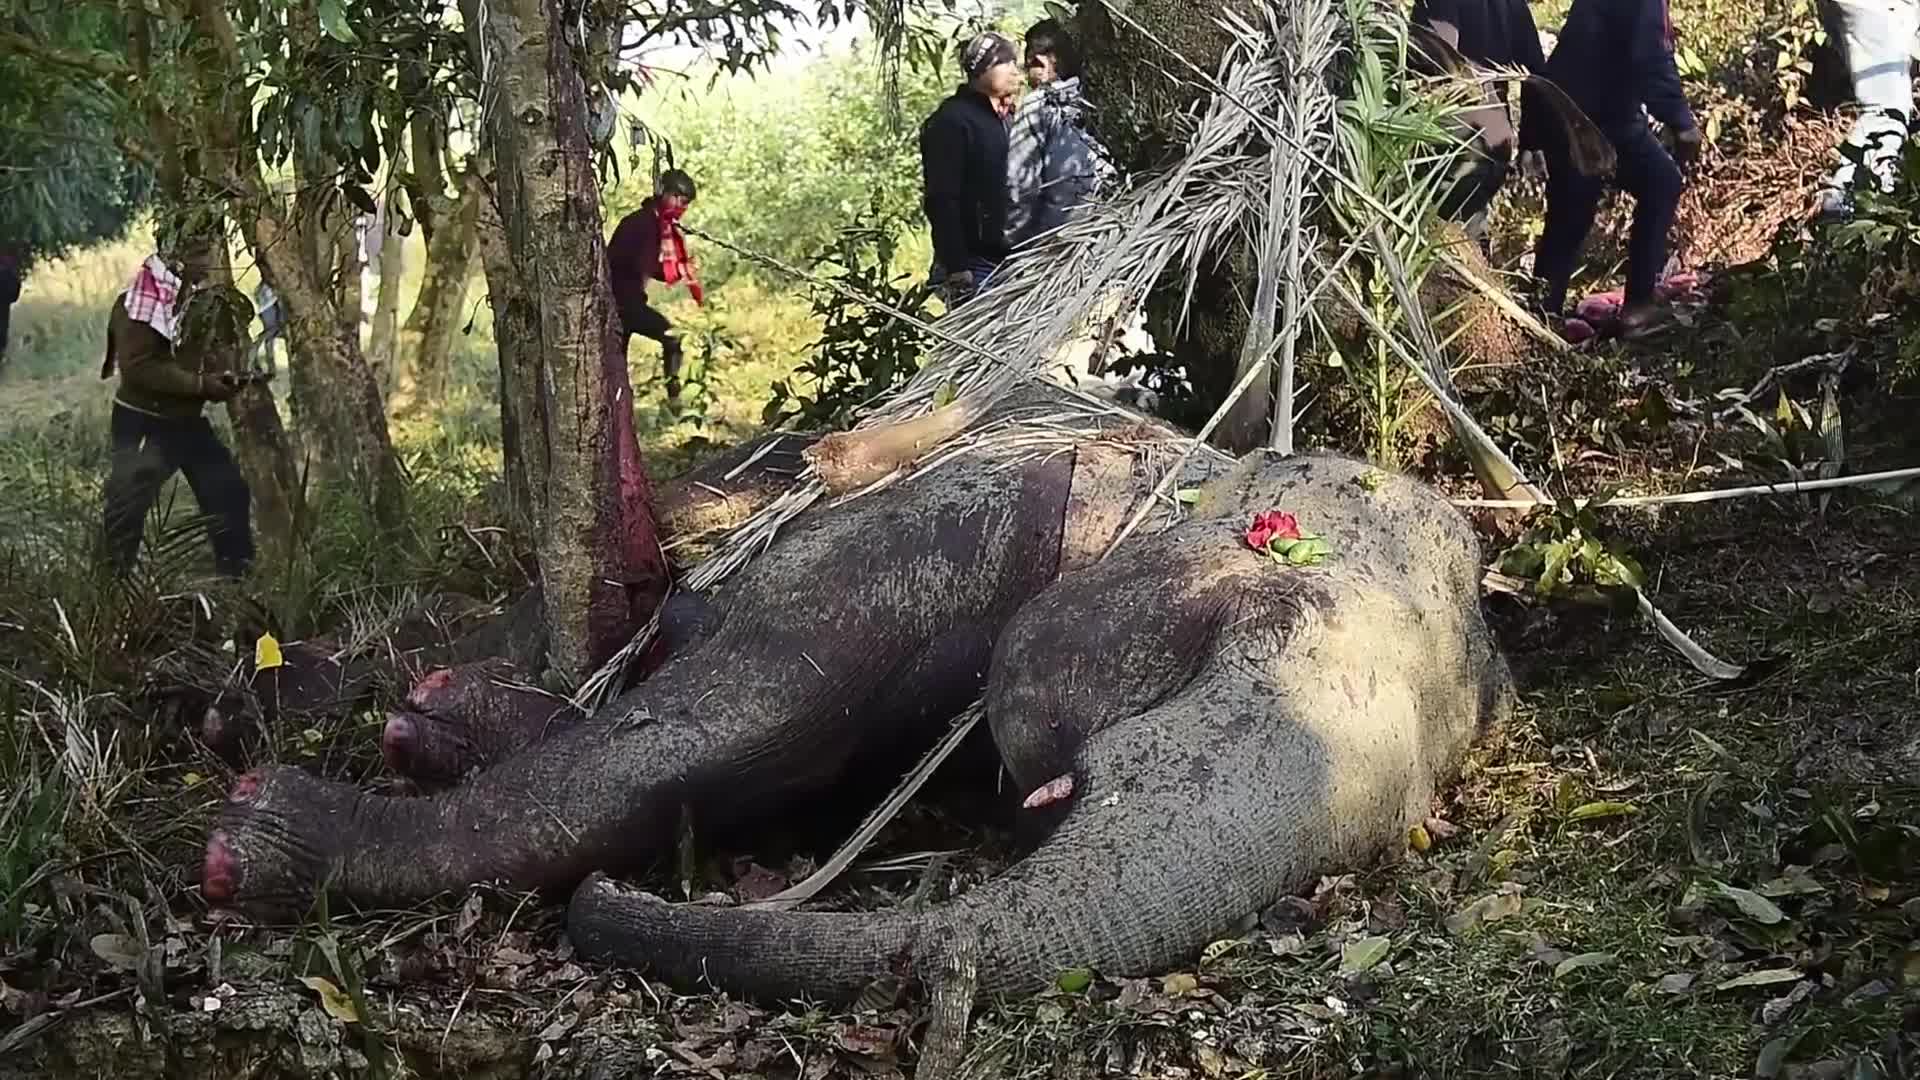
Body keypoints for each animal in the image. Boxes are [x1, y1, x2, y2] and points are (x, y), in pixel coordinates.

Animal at [200, 384, 1511, 1005]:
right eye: (1257, 619)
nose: (609, 904)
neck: (1190, 473)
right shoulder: (968, 528)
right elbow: (740, 719)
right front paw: (257, 844)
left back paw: (427, 716)